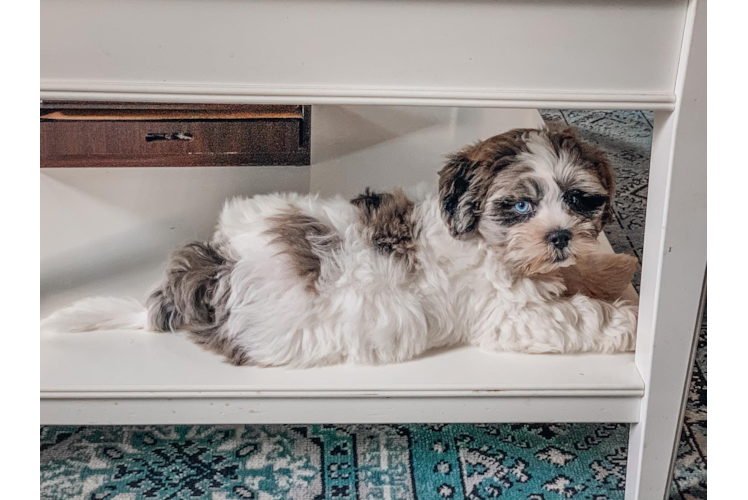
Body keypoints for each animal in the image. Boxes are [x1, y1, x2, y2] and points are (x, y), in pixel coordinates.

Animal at [41, 125, 636, 368]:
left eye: (579, 200)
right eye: (519, 207)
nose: (559, 236)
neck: (490, 246)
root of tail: (213, 269)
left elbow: (580, 275)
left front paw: (618, 266)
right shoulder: (511, 315)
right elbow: (578, 316)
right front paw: (628, 321)